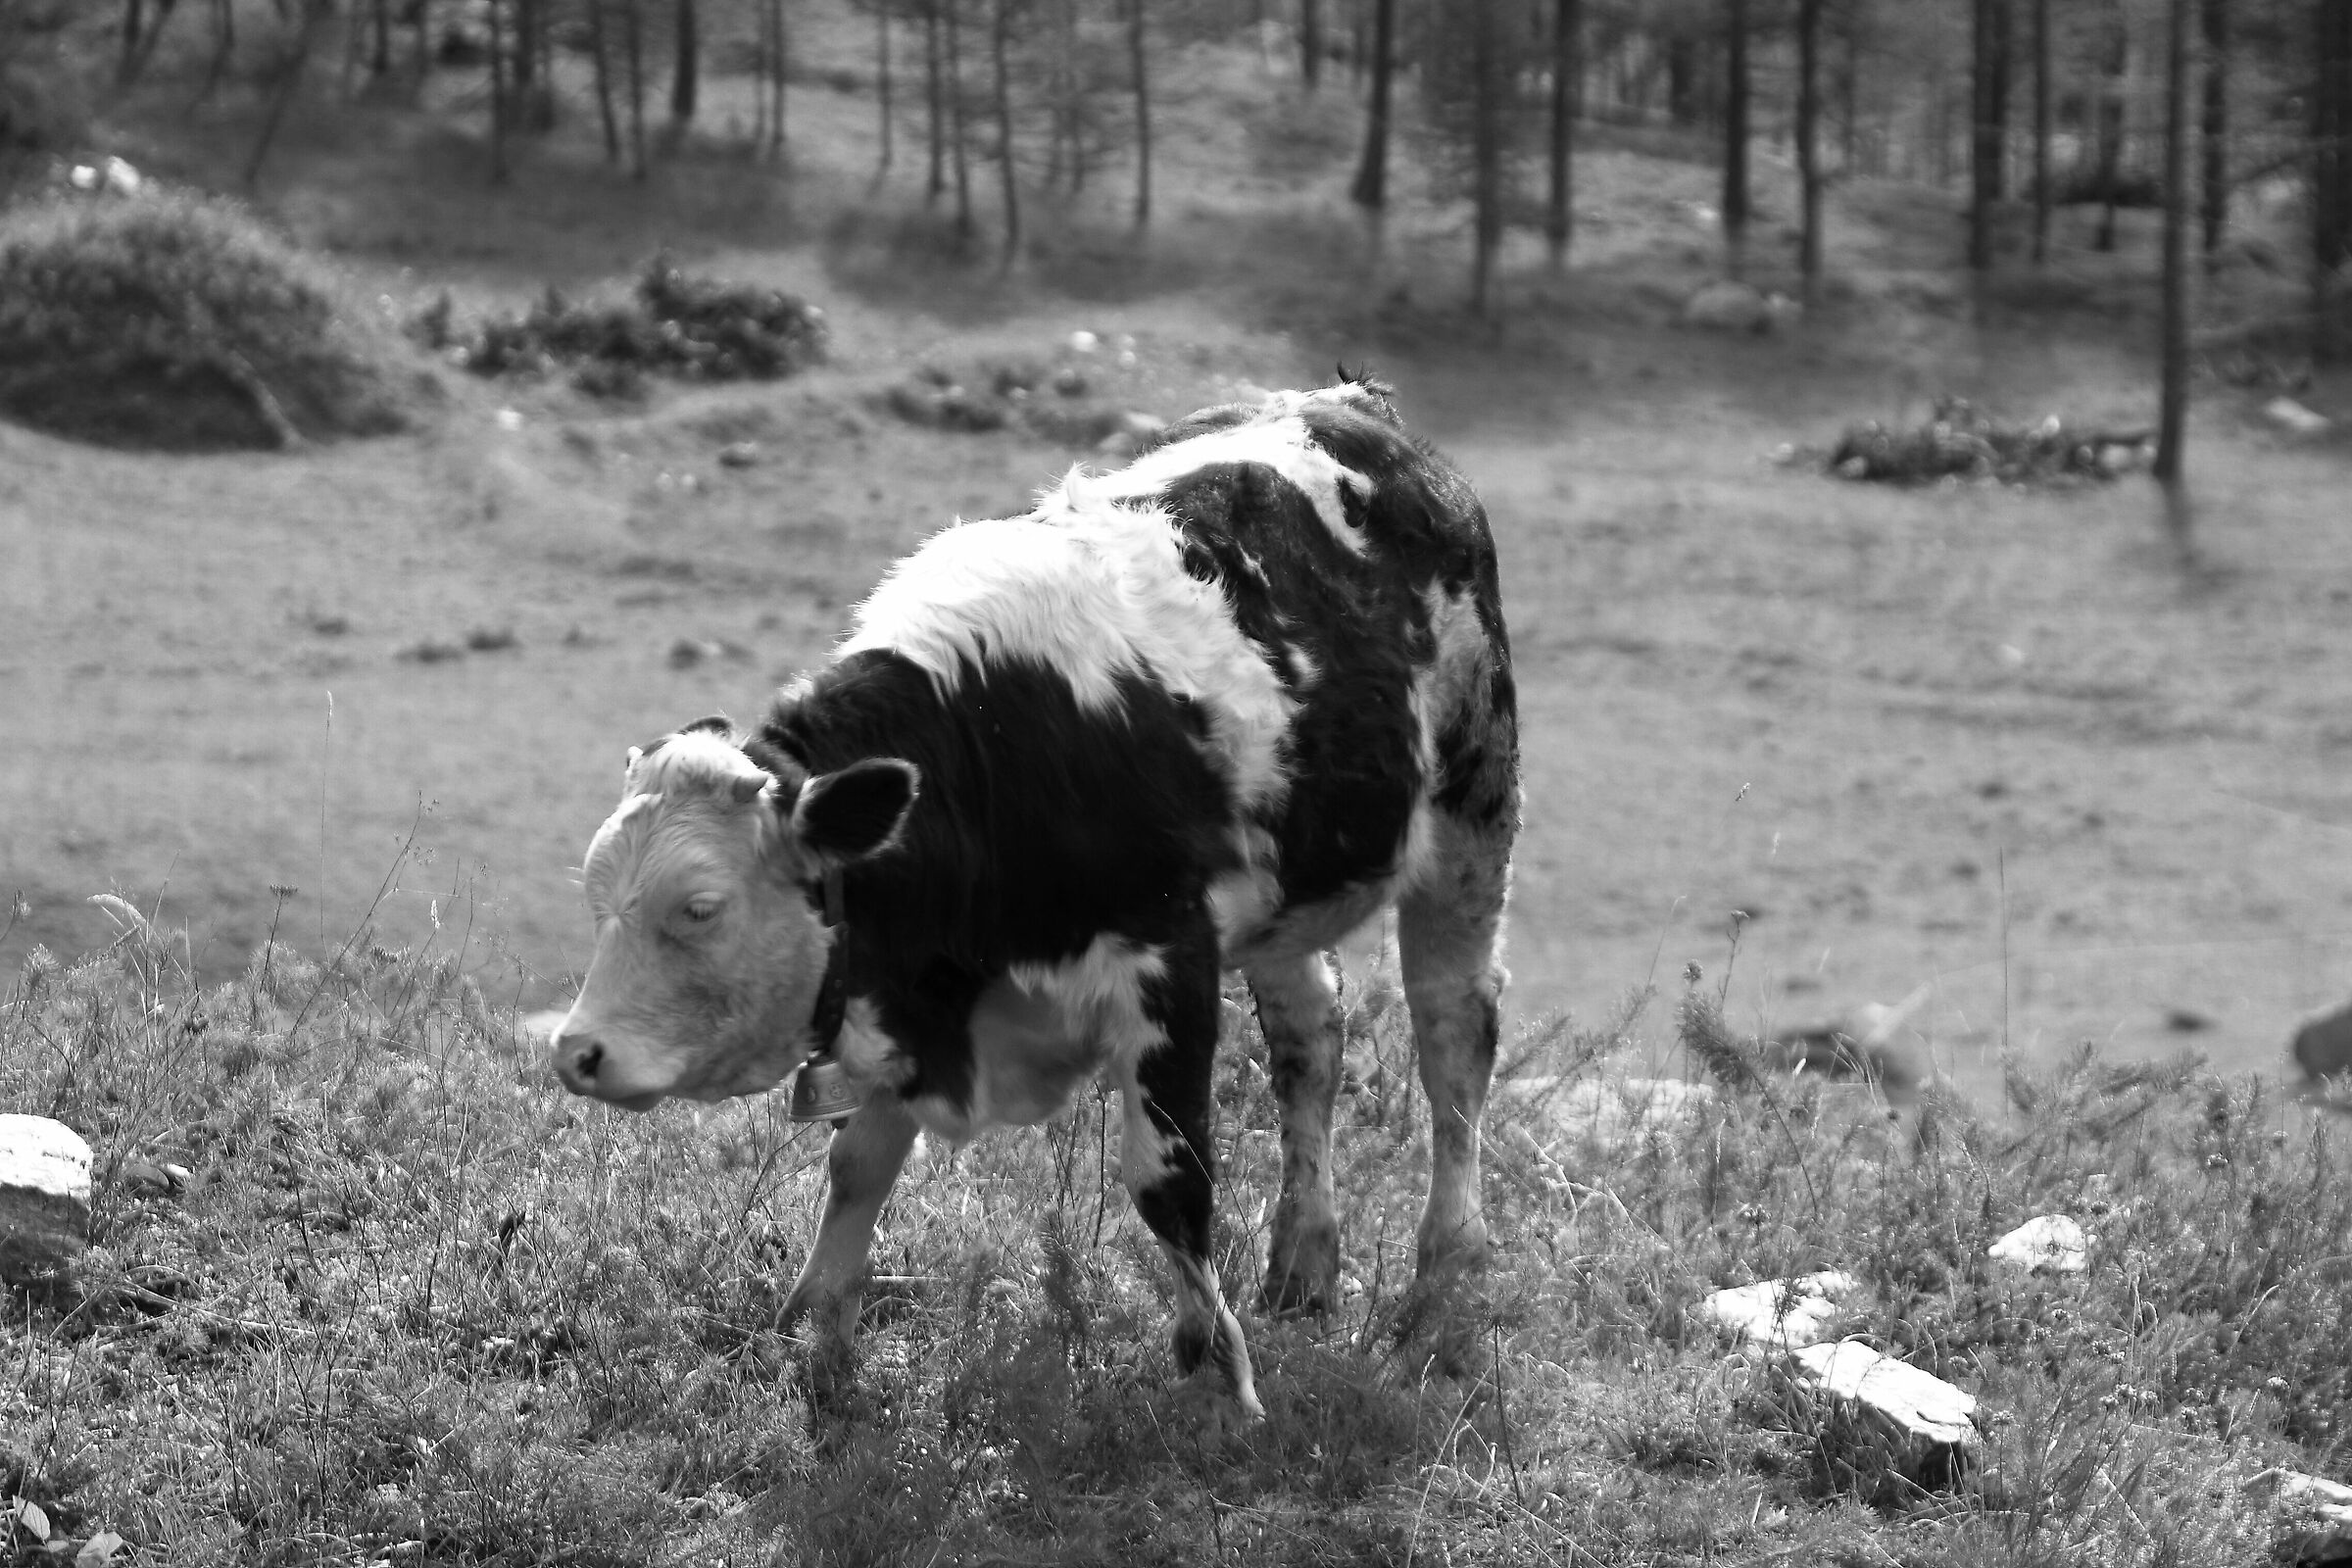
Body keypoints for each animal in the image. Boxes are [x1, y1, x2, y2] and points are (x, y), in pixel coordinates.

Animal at [549, 377, 1520, 1423]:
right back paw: (1303, 1266)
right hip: (1283, 905)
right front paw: (816, 1340)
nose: (577, 1053)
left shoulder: (1168, 964)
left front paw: (1223, 1380)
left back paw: (1440, 1291)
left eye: (701, 908)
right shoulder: (907, 981)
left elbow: (1169, 1179)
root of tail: (1348, 404)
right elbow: (858, 1163)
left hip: (1471, 830)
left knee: (1454, 1049)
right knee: (1314, 1042)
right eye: (597, 896)